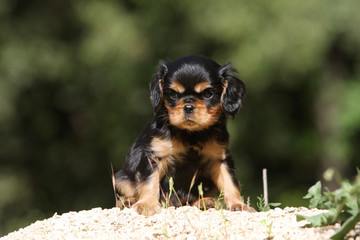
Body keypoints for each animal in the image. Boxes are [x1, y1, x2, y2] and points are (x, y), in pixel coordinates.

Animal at [116, 55, 253, 215]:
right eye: (173, 94)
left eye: (208, 93)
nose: (188, 106)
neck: (191, 133)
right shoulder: (154, 155)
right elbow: (149, 181)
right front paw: (146, 205)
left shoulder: (220, 158)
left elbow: (230, 181)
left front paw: (238, 204)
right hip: (121, 178)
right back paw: (128, 201)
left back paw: (205, 202)